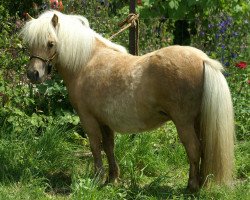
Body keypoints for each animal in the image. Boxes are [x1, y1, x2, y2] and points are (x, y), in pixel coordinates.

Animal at [21, 10, 234, 192]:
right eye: (29, 43)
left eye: (50, 43)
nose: (33, 74)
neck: (86, 62)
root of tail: (204, 60)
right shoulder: (104, 121)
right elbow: (109, 147)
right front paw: (112, 178)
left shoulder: (88, 118)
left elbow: (95, 146)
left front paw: (97, 179)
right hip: (197, 121)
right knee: (203, 149)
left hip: (184, 123)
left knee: (194, 149)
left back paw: (191, 187)